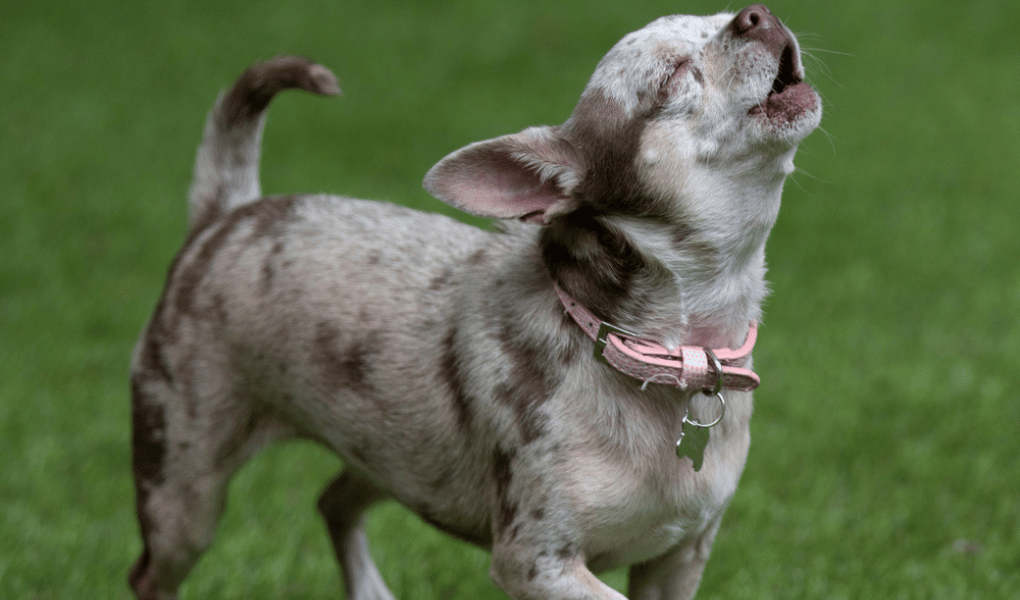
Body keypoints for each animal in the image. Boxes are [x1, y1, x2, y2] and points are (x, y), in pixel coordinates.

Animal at [127, 5, 820, 600]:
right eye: (673, 76)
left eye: (721, 16)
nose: (755, 15)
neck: (671, 349)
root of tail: (227, 214)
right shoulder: (537, 562)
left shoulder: (678, 558)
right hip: (184, 493)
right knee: (152, 574)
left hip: (397, 458)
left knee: (334, 500)